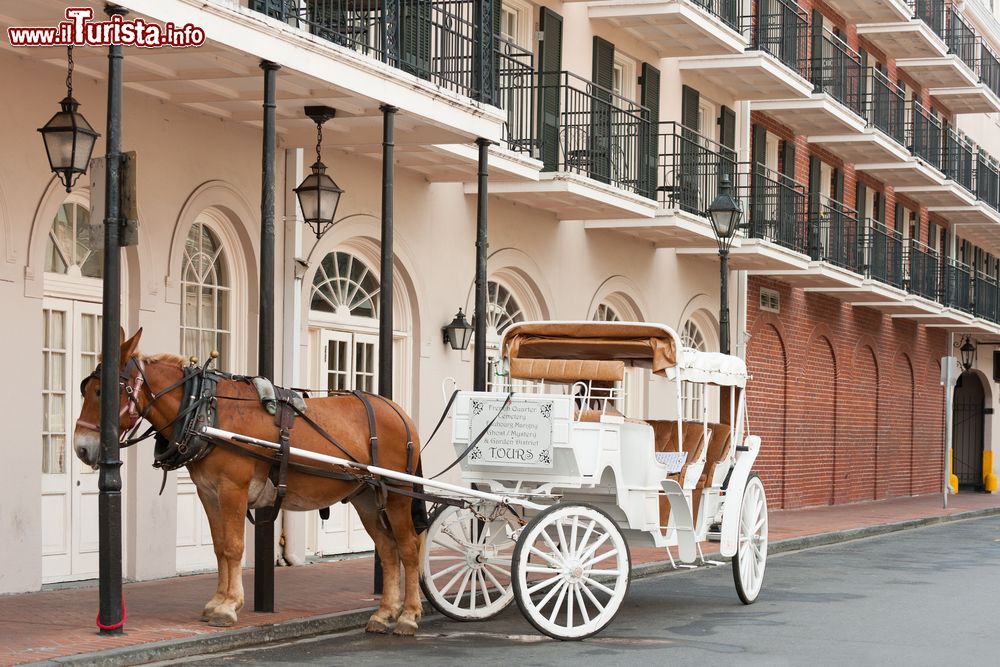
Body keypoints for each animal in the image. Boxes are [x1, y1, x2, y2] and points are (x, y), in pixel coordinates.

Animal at [73, 332, 426, 636]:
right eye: (85, 388)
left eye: (103, 392)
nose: (81, 448)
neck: (206, 411)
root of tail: (400, 412)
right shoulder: (208, 492)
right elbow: (219, 547)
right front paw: (217, 601)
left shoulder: (233, 488)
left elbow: (233, 546)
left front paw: (229, 606)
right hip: (366, 497)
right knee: (387, 549)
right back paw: (384, 613)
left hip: (398, 495)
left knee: (409, 548)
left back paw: (408, 615)